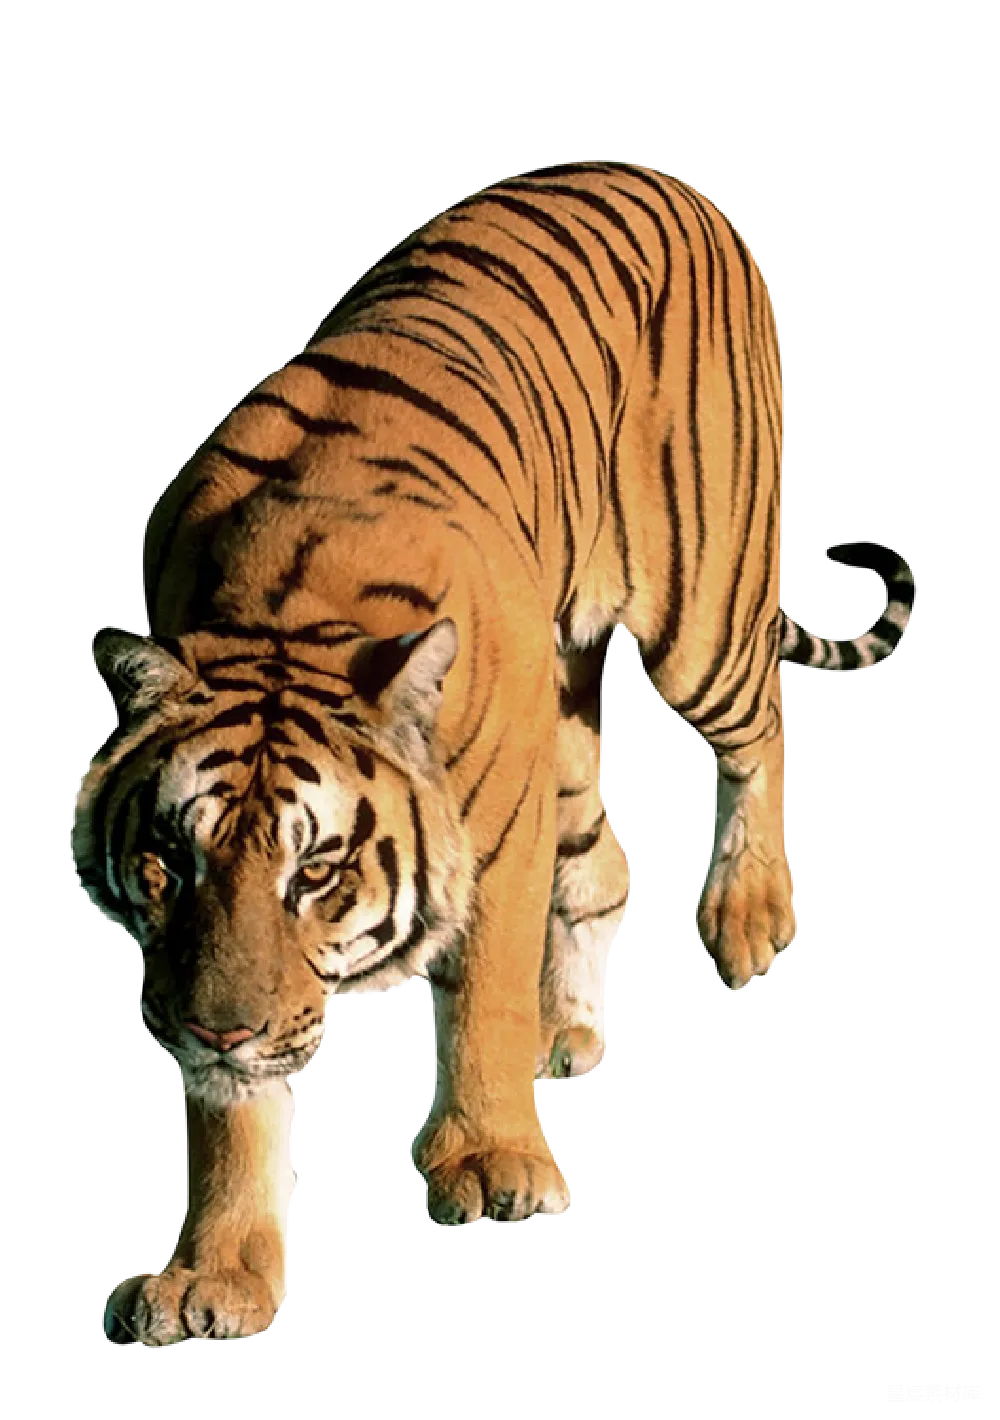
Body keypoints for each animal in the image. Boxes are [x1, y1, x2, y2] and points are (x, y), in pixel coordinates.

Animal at [73, 160, 914, 1345]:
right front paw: (214, 1277)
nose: (218, 1031)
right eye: (168, 860)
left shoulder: (498, 826)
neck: (283, 613)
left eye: (315, 871)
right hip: (565, 725)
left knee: (761, 732)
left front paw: (489, 1163)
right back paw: (569, 1030)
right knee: (606, 862)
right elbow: (234, 1113)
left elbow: (485, 988)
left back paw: (748, 915)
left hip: (698, 626)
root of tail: (665, 175)